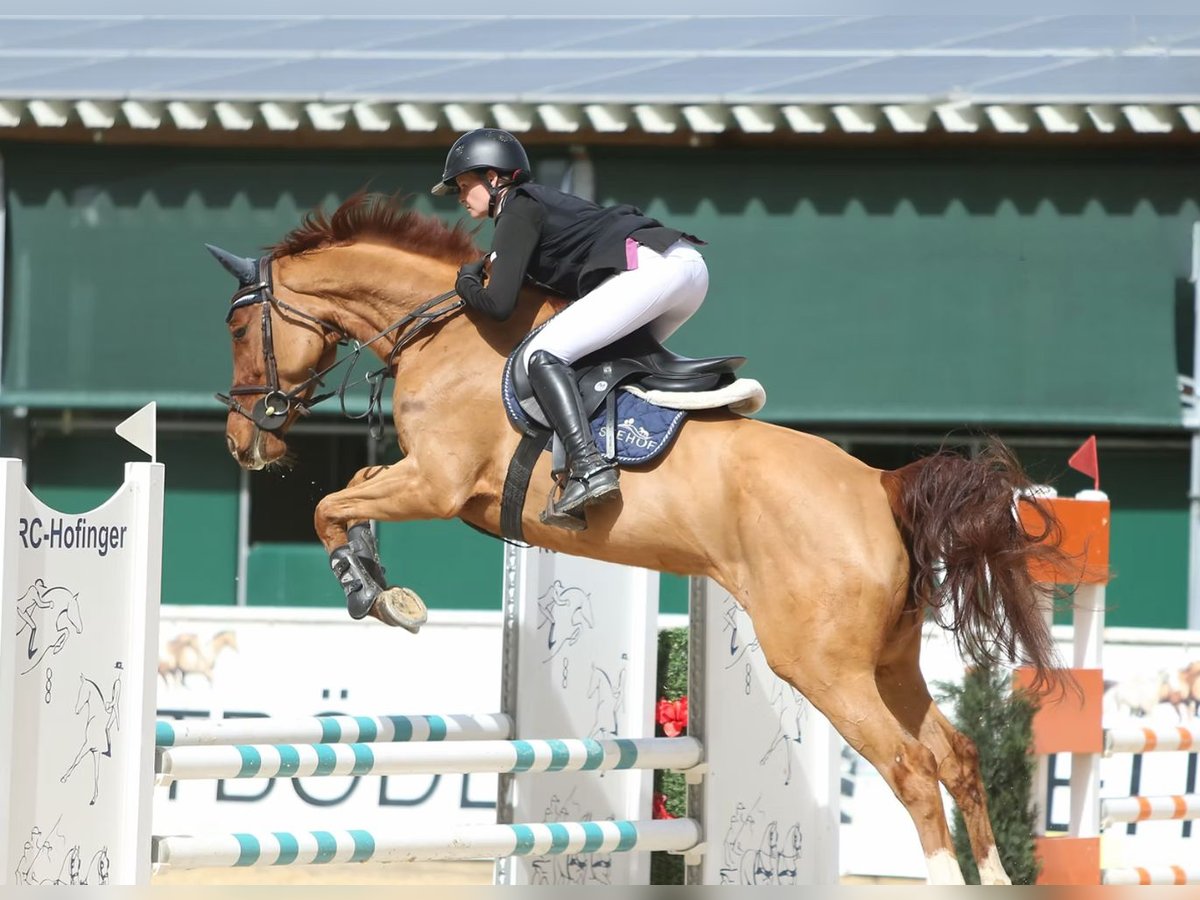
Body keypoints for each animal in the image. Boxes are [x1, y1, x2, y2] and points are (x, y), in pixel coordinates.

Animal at [211, 192, 1072, 885]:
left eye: (237, 326)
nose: (241, 440)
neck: (448, 336)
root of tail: (879, 486)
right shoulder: (429, 482)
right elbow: (352, 494)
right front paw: (378, 579)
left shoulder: (438, 482)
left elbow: (330, 505)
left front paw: (376, 593)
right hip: (890, 661)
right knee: (958, 758)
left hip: (823, 667)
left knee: (913, 768)